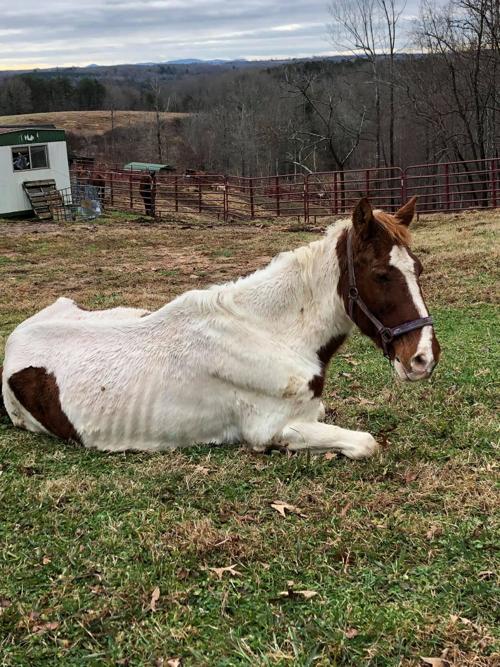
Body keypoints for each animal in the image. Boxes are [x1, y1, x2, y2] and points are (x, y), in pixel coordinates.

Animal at [0, 197, 440, 460]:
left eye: (417, 268)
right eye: (381, 275)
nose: (424, 358)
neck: (270, 334)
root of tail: (17, 338)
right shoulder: (270, 429)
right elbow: (366, 443)